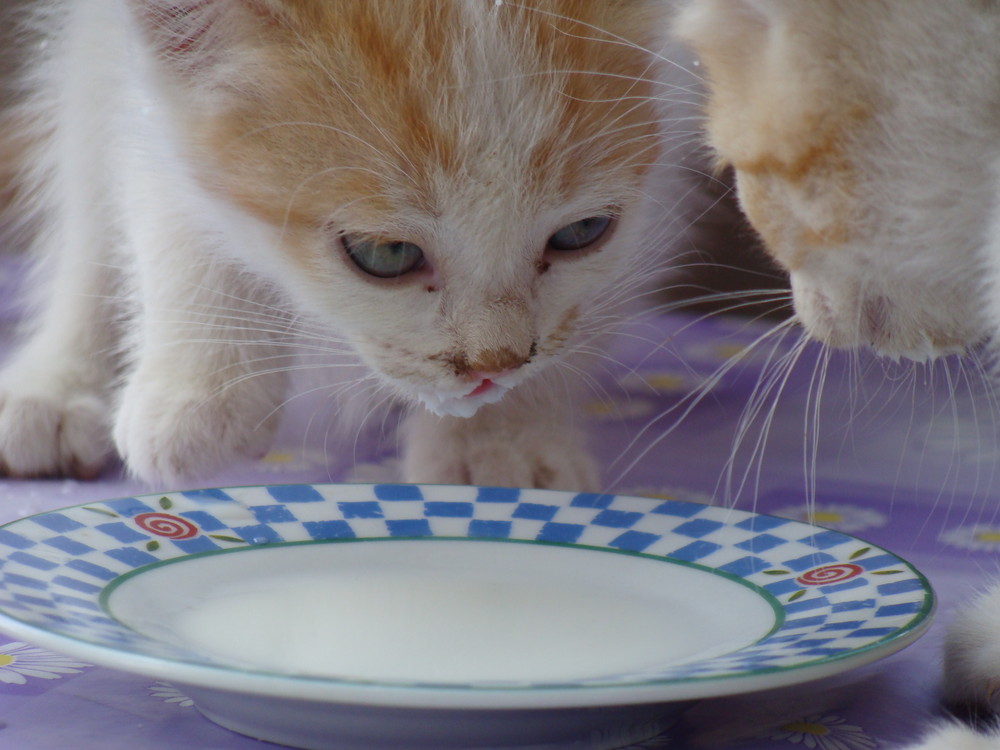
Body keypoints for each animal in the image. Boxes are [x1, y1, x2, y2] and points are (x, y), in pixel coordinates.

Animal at [0, 0, 676, 490]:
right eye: (384, 255)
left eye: (582, 234)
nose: (495, 367)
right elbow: (143, 137)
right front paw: (203, 384)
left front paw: (506, 439)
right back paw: (55, 383)